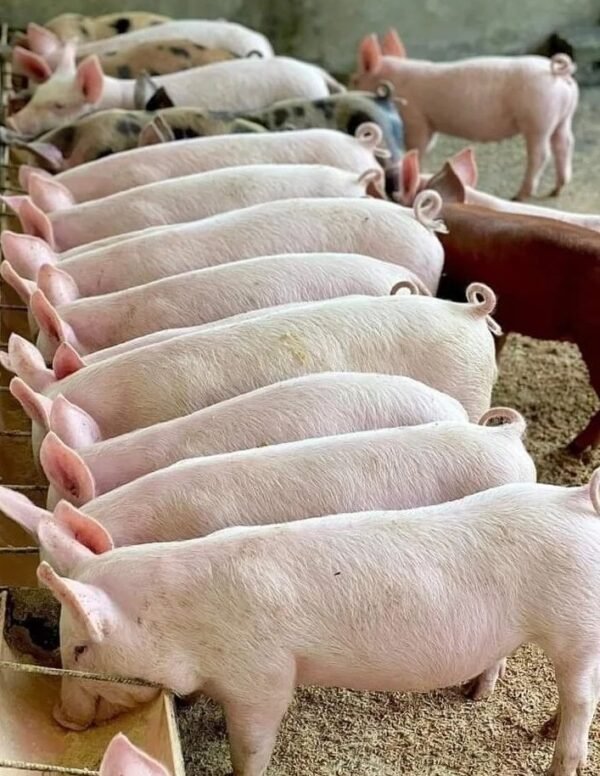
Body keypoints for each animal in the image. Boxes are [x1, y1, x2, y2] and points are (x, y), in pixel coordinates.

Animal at [37, 468, 600, 776]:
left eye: (81, 649)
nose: (62, 717)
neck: (185, 621)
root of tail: (576, 501)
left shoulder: (262, 678)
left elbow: (250, 746)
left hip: (576, 626)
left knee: (582, 697)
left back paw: (554, 756)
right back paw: (482, 699)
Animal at [352, 29, 578, 200]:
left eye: (356, 80)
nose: (350, 89)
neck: (396, 81)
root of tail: (557, 72)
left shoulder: (417, 118)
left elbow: (418, 146)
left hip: (537, 118)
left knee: (541, 153)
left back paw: (519, 196)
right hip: (563, 117)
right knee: (564, 143)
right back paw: (557, 189)